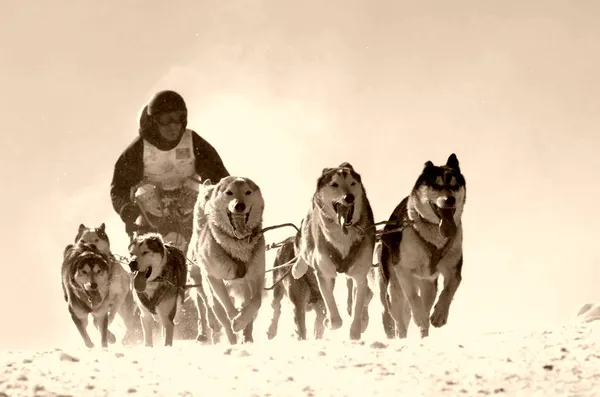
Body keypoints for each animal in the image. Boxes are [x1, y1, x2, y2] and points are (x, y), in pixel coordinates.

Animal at [290, 162, 376, 338]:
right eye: (335, 184)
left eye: (352, 183)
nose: (349, 197)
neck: (343, 235)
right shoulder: (324, 273)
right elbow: (334, 314)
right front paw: (329, 322)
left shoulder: (360, 276)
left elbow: (358, 306)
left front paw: (356, 331)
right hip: (309, 240)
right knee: (304, 251)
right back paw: (298, 268)